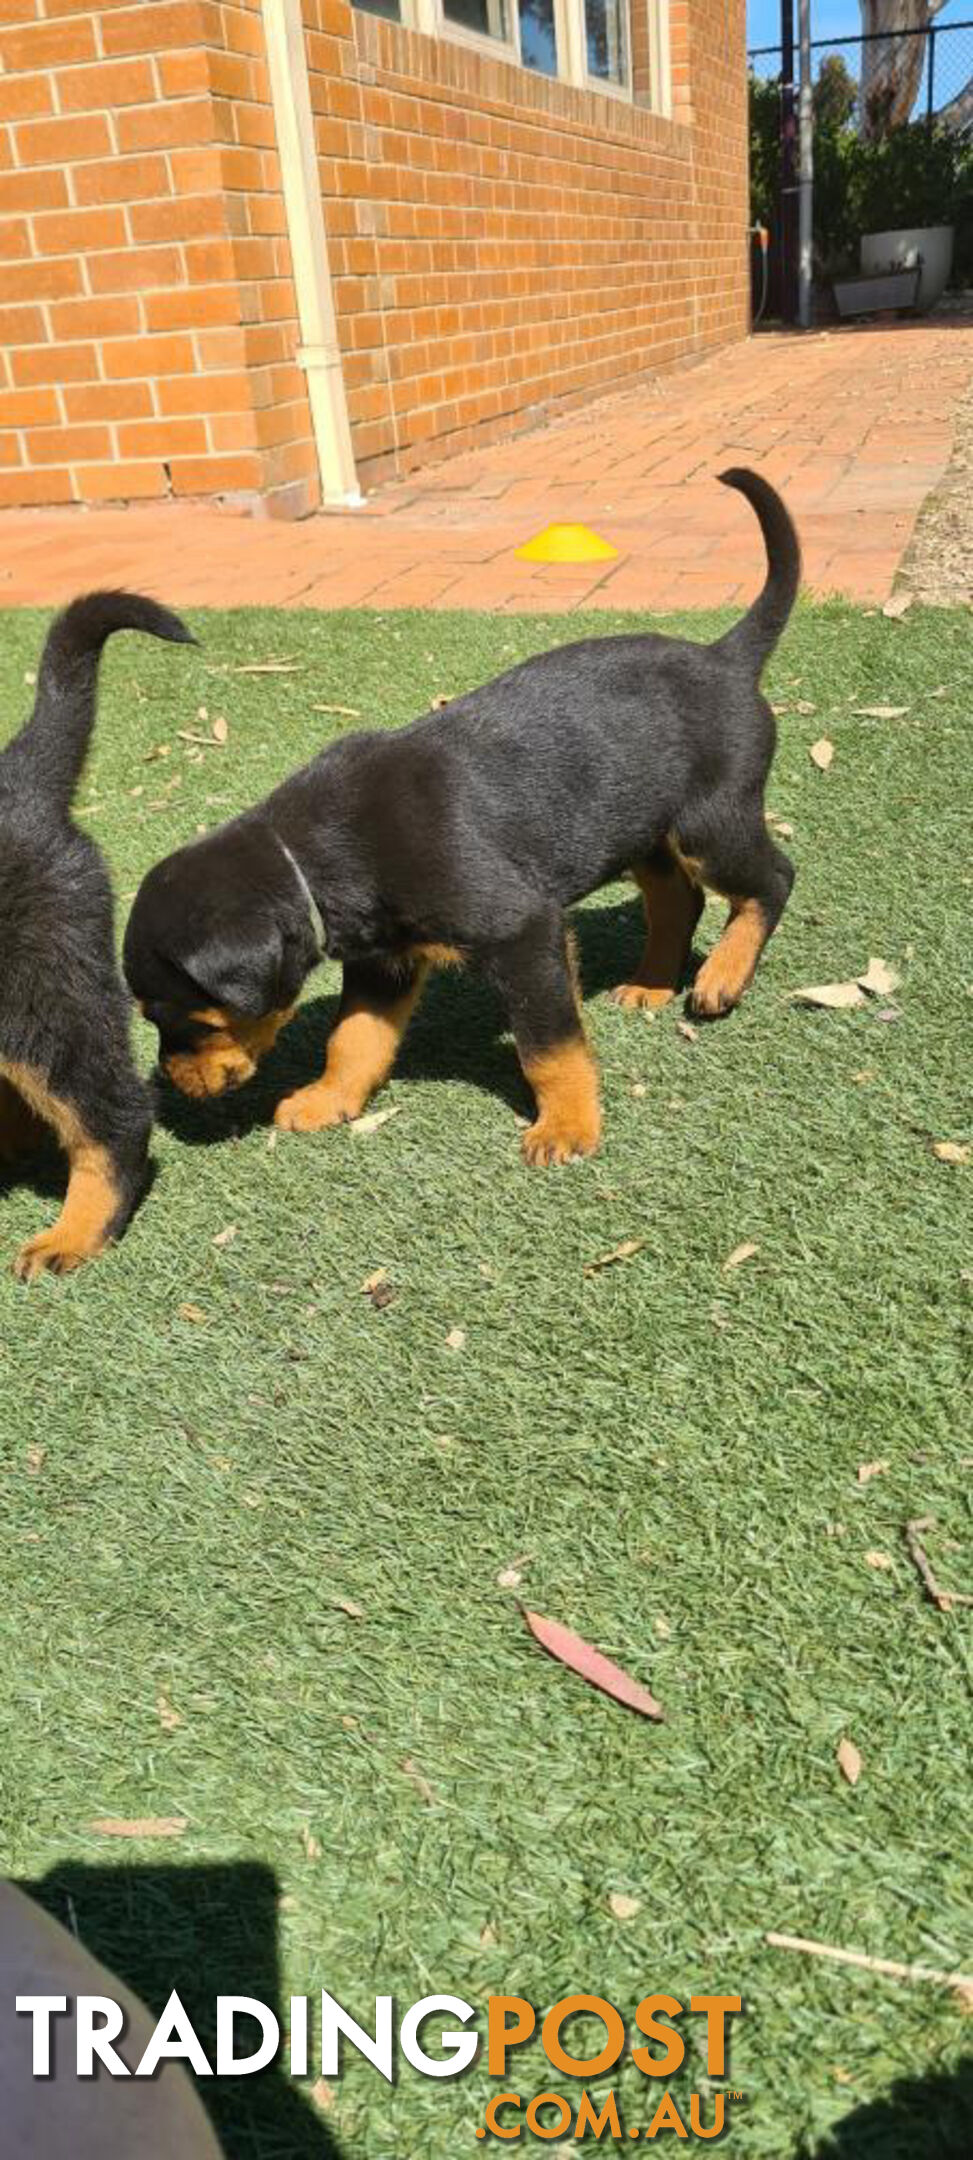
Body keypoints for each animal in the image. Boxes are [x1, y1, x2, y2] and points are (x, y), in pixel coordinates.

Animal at [125, 468, 800, 1166]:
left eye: (175, 1015)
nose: (172, 1086)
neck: (308, 863)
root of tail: (725, 658)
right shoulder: (383, 961)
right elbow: (353, 1038)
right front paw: (327, 1099)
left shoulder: (524, 932)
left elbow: (547, 1045)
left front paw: (565, 1126)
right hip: (646, 830)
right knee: (678, 899)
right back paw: (653, 982)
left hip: (709, 823)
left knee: (773, 878)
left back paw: (722, 976)